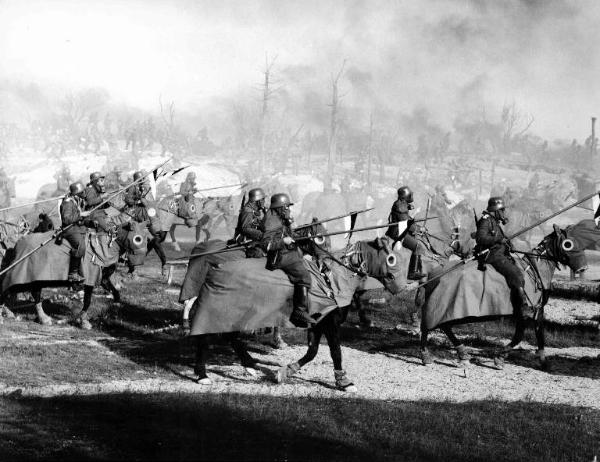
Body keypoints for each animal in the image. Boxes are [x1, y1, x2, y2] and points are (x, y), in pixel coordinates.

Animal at [1, 214, 147, 328]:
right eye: (137, 239)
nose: (138, 262)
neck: (105, 247)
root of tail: (18, 244)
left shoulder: (103, 278)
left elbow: (114, 291)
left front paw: (116, 303)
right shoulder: (90, 279)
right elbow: (87, 300)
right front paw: (83, 321)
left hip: (33, 279)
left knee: (26, 293)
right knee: (16, 291)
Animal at [414, 222, 588, 370]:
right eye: (568, 244)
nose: (583, 268)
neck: (535, 271)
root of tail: (434, 273)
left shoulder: (535, 311)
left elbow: (538, 335)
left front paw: (542, 361)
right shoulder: (527, 313)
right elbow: (520, 336)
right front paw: (500, 358)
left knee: (443, 326)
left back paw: (461, 353)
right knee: (430, 325)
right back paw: (426, 355)